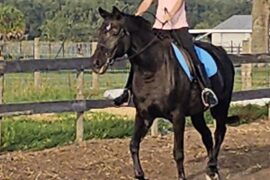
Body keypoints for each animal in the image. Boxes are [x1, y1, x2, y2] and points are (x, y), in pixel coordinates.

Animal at [91, 6, 238, 179]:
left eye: (114, 31)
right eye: (101, 31)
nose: (96, 62)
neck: (152, 68)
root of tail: (221, 52)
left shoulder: (178, 116)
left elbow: (178, 152)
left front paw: (181, 176)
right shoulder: (144, 115)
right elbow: (133, 144)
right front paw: (139, 174)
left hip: (221, 106)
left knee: (219, 133)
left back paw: (212, 166)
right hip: (197, 113)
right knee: (207, 136)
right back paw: (212, 171)